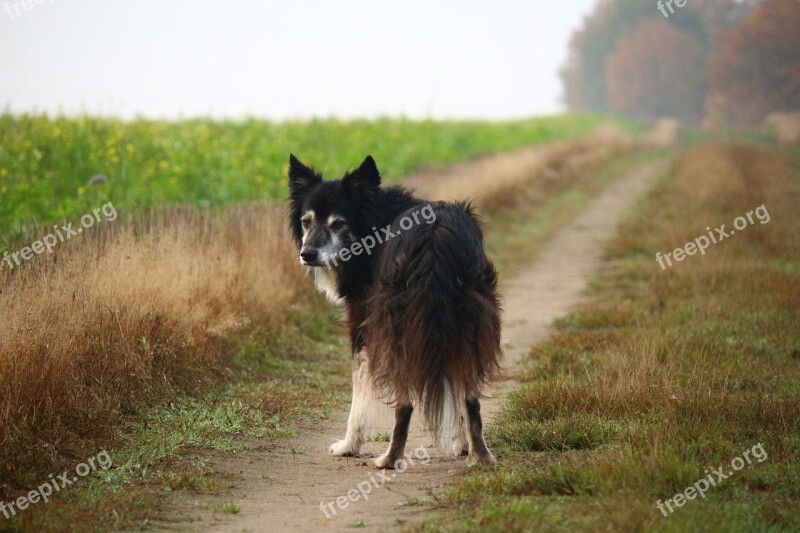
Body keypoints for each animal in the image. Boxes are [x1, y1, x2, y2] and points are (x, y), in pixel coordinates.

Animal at [288, 153, 500, 466]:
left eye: (338, 224)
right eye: (306, 221)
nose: (307, 255)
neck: (373, 222)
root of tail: (433, 236)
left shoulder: (362, 327)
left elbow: (358, 395)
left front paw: (348, 446)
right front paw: (460, 446)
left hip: (395, 330)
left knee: (405, 403)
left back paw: (388, 459)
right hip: (467, 323)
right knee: (470, 397)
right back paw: (481, 456)